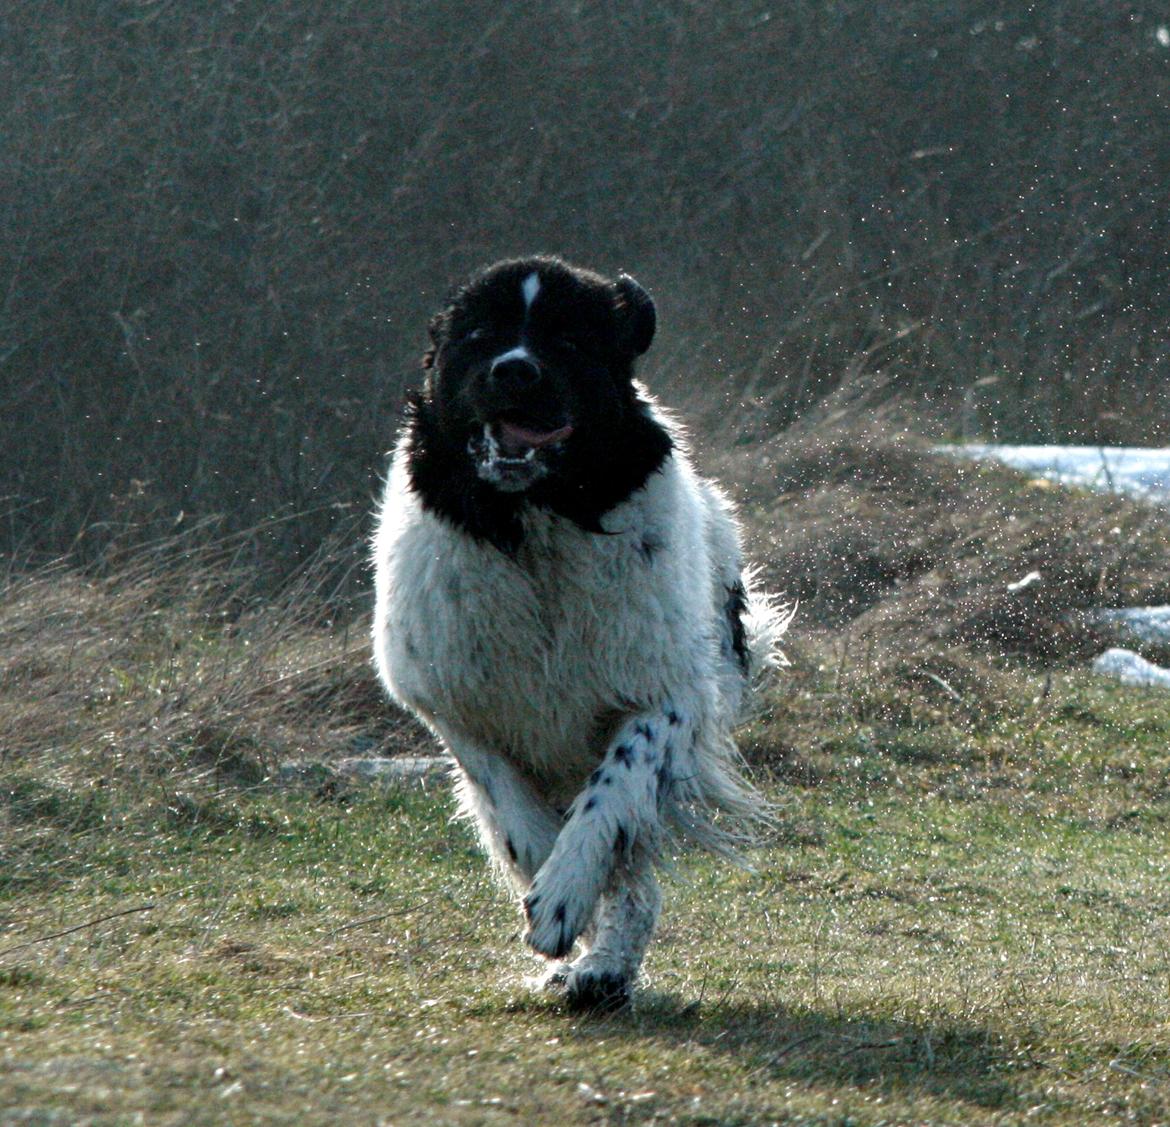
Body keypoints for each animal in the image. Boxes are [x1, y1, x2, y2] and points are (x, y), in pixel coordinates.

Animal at [369, 257, 781, 1015]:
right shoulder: (453, 704)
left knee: (636, 872)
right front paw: (550, 891)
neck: (538, 520)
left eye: (568, 340)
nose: (514, 370)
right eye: (478, 334)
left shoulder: (669, 692)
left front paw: (564, 896)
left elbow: (613, 794)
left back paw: (605, 968)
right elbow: (512, 811)